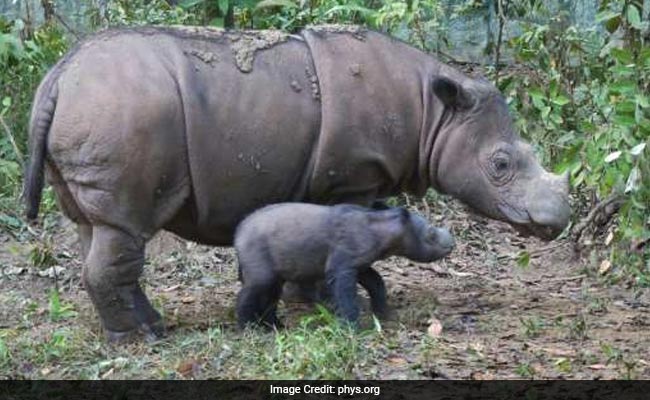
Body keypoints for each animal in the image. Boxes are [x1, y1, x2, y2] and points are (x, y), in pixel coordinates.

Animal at [233, 203, 450, 328]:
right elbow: (346, 297)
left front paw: (385, 313)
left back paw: (275, 326)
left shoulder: (360, 265)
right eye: (431, 233)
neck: (375, 229)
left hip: (275, 276)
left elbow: (377, 283)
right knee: (245, 296)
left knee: (270, 299)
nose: (452, 239)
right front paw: (351, 327)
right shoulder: (341, 266)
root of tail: (238, 234)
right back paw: (248, 327)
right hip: (260, 272)